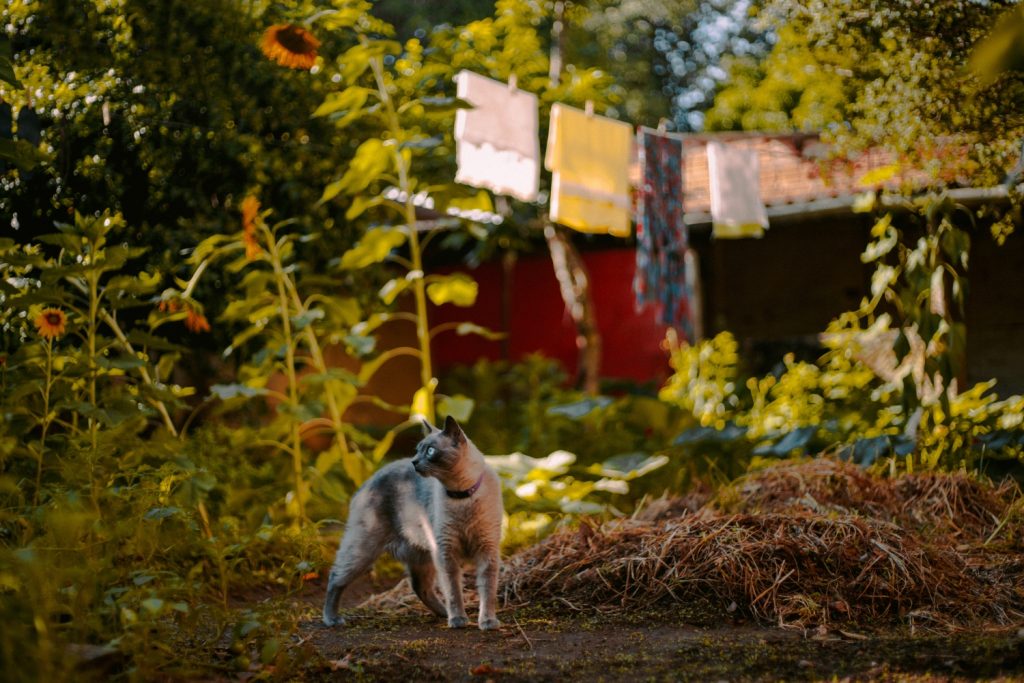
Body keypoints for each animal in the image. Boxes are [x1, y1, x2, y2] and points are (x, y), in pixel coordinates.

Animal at [323, 413, 503, 634]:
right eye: (417, 450)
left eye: (430, 451)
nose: (414, 462)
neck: (462, 495)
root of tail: (368, 481)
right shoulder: (446, 552)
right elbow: (453, 590)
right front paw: (458, 620)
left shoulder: (487, 550)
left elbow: (488, 590)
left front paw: (487, 622)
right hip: (363, 550)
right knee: (335, 577)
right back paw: (332, 619)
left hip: (421, 556)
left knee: (420, 587)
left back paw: (442, 613)